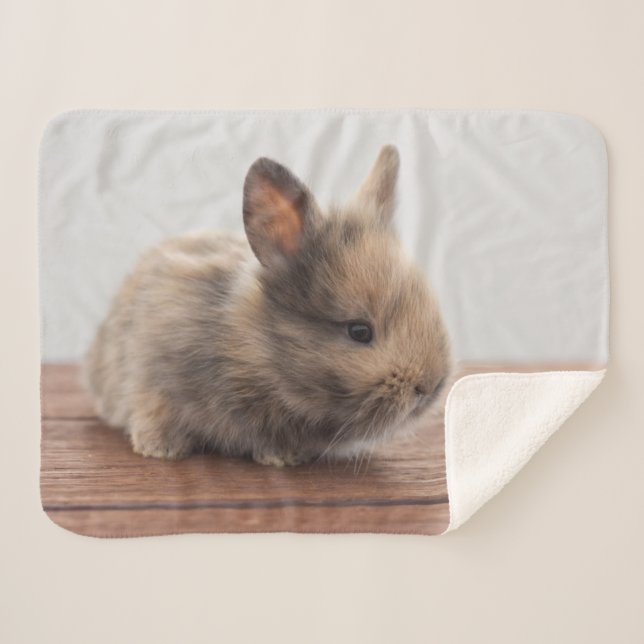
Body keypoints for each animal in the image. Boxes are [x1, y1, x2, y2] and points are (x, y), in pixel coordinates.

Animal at [84, 145, 452, 466]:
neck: (250, 351)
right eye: (359, 331)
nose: (430, 386)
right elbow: (153, 412)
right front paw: (161, 450)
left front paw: (284, 457)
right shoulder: (153, 377)